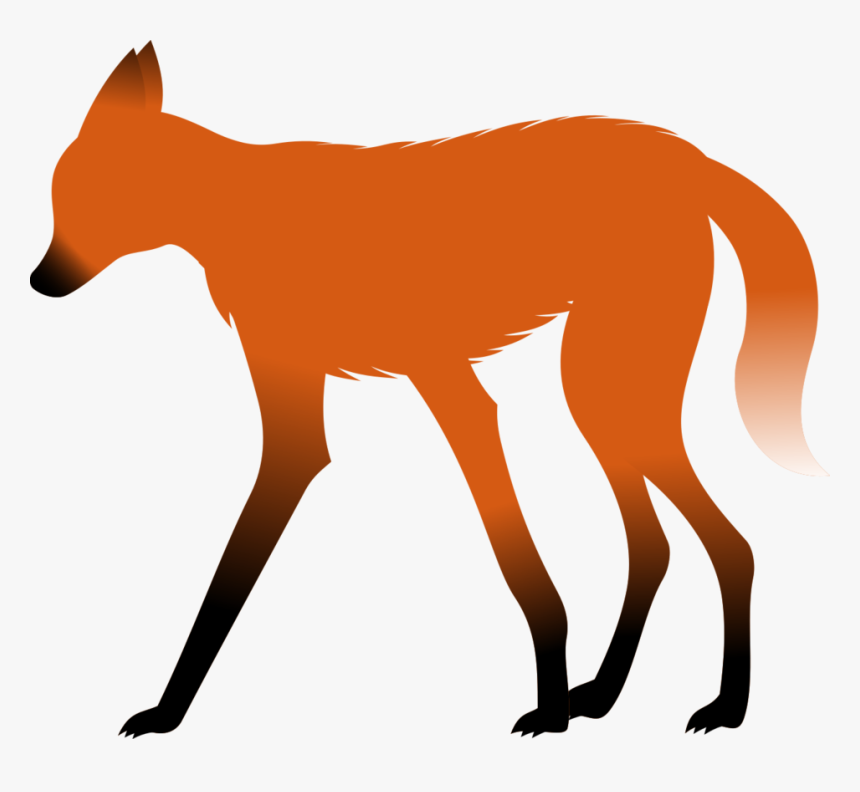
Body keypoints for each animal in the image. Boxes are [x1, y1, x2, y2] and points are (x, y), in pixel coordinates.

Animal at [30, 43, 824, 738]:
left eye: (89, 197)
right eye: (58, 198)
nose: (39, 279)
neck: (239, 211)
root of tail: (691, 156)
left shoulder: (446, 397)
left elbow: (519, 569)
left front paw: (549, 709)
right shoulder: (318, 422)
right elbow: (230, 576)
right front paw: (169, 713)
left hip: (609, 399)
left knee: (733, 546)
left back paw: (725, 707)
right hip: (600, 405)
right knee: (656, 549)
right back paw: (601, 695)